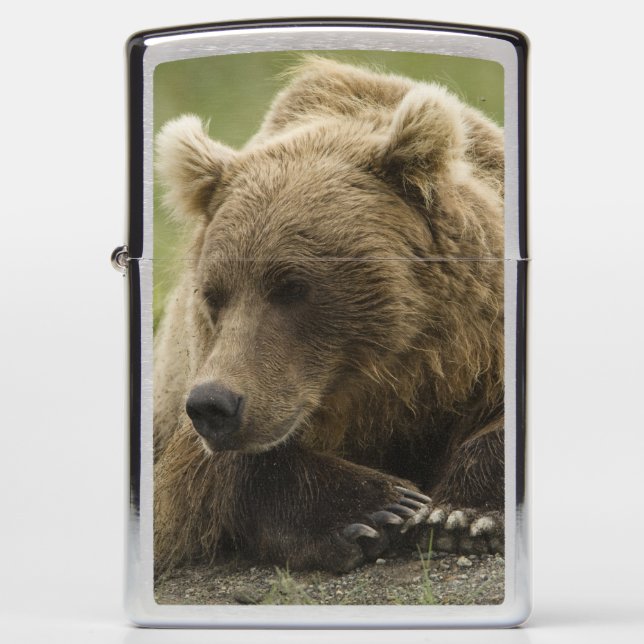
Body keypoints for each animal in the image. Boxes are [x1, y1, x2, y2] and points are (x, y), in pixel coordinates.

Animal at [153, 57, 505, 574]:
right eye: (213, 294)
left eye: (292, 286)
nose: (214, 404)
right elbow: (207, 474)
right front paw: (377, 508)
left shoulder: (483, 343)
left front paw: (463, 514)